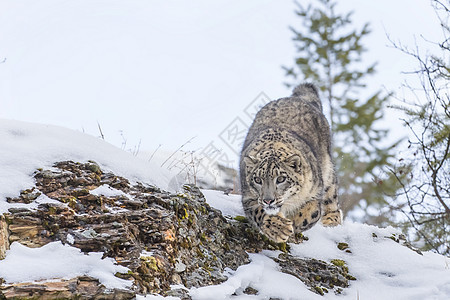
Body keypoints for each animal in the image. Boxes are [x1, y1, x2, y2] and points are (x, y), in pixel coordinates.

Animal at [239, 83, 342, 243]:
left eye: (281, 179)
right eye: (257, 180)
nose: (268, 200)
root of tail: (298, 98)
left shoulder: (314, 193)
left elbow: (310, 214)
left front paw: (292, 225)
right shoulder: (248, 198)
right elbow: (260, 212)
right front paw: (278, 227)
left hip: (328, 170)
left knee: (331, 194)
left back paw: (331, 221)